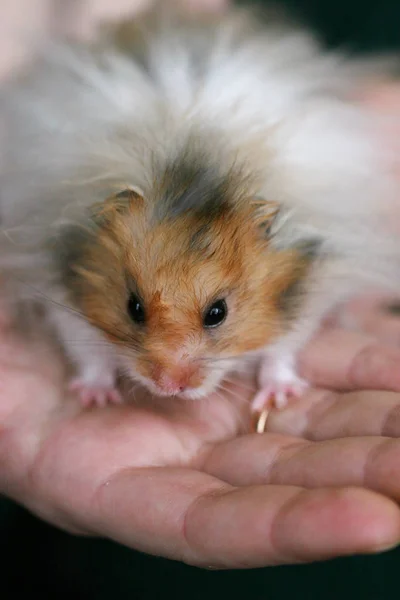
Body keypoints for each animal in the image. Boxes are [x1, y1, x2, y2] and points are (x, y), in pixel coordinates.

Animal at [0, 0, 398, 410]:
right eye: (133, 307)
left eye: (217, 313)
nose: (169, 386)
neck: (193, 177)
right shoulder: (67, 302)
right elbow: (90, 354)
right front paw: (96, 397)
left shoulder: (302, 299)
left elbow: (281, 350)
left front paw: (276, 397)